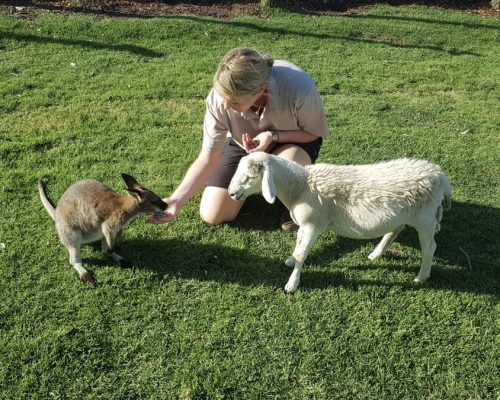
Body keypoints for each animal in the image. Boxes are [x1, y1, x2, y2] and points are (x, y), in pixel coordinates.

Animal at [229, 152, 452, 292]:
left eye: (249, 177)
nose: (231, 193)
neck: (301, 186)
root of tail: (441, 175)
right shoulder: (305, 224)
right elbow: (298, 245)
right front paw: (290, 261)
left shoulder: (313, 225)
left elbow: (302, 254)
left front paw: (292, 284)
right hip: (405, 215)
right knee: (393, 230)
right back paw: (376, 253)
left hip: (426, 219)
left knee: (429, 248)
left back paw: (421, 277)